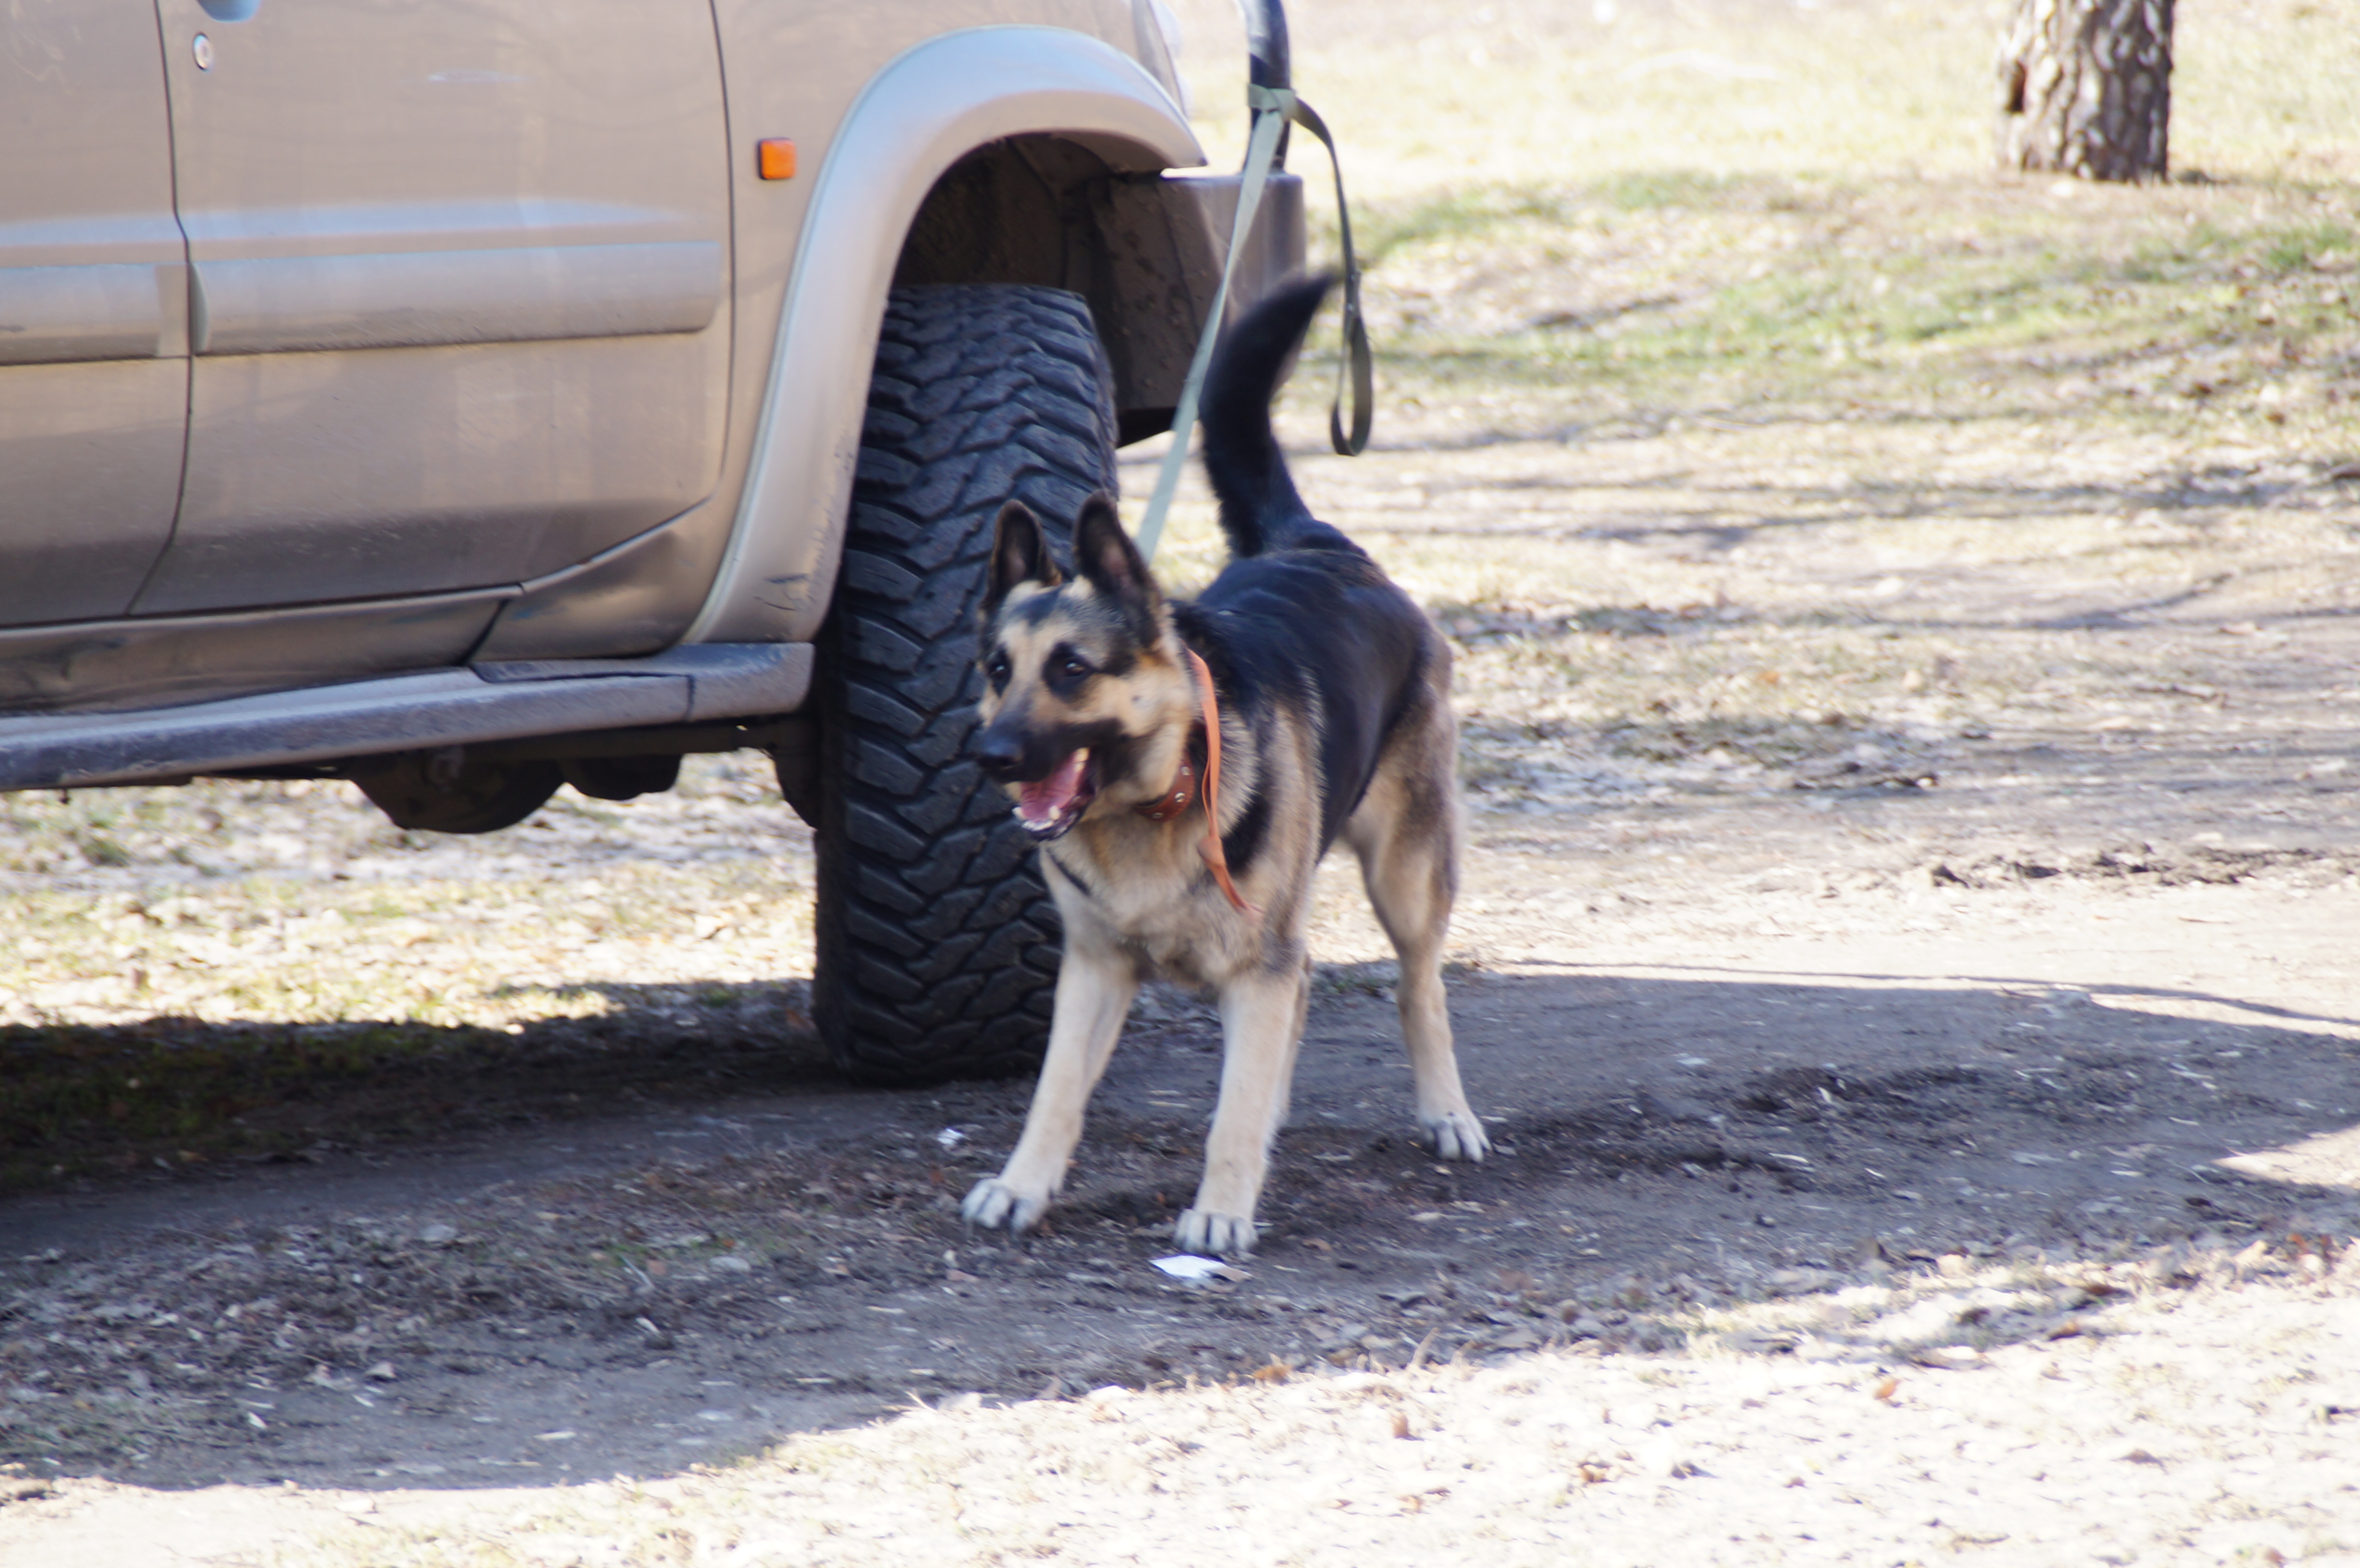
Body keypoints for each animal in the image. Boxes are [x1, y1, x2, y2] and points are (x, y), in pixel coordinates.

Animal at [959, 276, 1487, 1258]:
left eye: (1072, 669)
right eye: (999, 671)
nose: (992, 757)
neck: (1153, 805)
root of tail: (1320, 543)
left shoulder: (1254, 969)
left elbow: (1231, 1109)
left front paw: (1222, 1208)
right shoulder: (1094, 972)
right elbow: (1055, 1094)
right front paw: (1021, 1186)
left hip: (1406, 876)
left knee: (1418, 985)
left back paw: (1447, 1111)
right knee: (1312, 996)